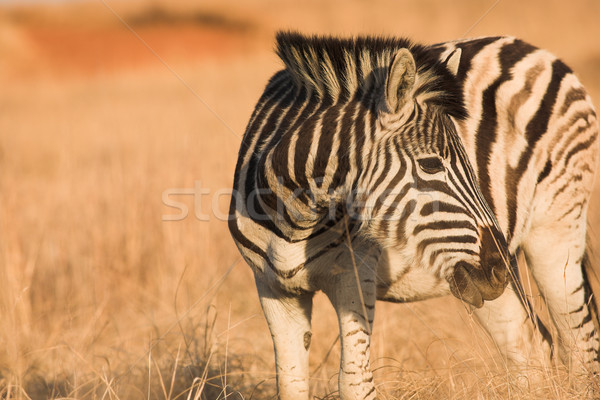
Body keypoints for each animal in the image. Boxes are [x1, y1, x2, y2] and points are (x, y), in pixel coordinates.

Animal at [227, 32, 596, 400]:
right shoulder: (272, 289)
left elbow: (355, 382)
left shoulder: (355, 275)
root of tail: (534, 51)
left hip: (555, 233)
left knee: (579, 344)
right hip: (483, 282)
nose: (498, 264)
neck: (294, 218)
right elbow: (290, 382)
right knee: (527, 345)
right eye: (431, 165)